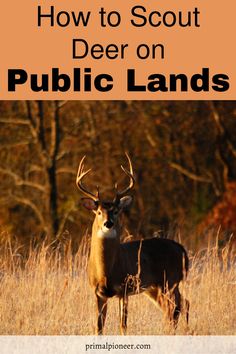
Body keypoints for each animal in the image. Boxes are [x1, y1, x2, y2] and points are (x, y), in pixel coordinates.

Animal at [76, 154, 189, 334]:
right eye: (99, 212)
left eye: (116, 211)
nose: (108, 223)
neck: (106, 271)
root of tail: (182, 249)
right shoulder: (98, 292)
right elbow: (99, 326)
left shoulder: (124, 288)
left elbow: (123, 325)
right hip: (154, 287)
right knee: (175, 307)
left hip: (170, 280)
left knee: (178, 306)